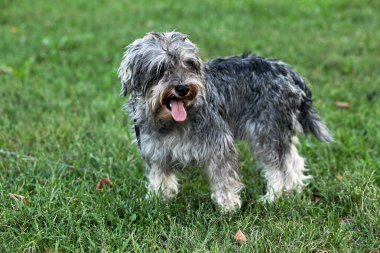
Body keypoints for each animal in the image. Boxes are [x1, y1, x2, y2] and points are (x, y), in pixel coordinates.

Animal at [117, 31, 332, 211]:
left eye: (189, 64)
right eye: (161, 68)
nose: (183, 88)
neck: (171, 122)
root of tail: (289, 72)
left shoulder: (218, 146)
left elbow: (224, 179)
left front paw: (228, 206)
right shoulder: (155, 151)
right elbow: (159, 177)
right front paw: (158, 199)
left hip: (267, 133)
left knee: (280, 168)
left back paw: (274, 196)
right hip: (280, 132)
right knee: (293, 160)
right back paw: (294, 188)